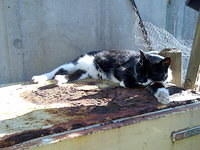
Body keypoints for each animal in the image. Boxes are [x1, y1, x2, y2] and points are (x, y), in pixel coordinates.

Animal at [32, 49, 172, 103]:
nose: (140, 79)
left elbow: (157, 83)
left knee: (74, 75)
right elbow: (130, 83)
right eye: (139, 70)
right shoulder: (121, 70)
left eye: (151, 73)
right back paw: (40, 78)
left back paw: (61, 79)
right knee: (57, 69)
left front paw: (163, 95)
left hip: (84, 72)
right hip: (74, 63)